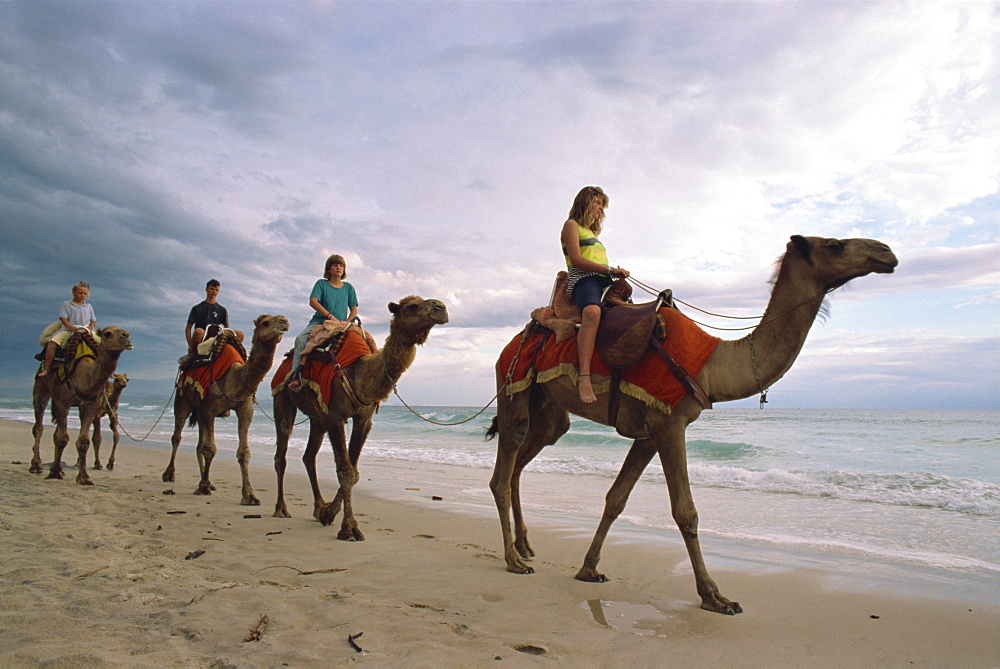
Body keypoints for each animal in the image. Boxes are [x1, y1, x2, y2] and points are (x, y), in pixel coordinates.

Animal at [30, 326, 135, 482]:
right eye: (107, 334)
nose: (126, 336)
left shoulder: (92, 405)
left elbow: (85, 440)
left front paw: (84, 477)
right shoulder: (63, 402)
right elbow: (63, 438)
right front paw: (55, 472)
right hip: (41, 385)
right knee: (39, 424)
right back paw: (36, 465)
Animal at [162, 316, 290, 504]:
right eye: (265, 322)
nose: (284, 321)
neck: (233, 379)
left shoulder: (244, 410)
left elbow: (243, 452)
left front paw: (249, 495)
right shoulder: (209, 410)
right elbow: (210, 449)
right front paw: (204, 487)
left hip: (199, 412)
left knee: (198, 445)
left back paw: (206, 480)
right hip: (183, 398)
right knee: (177, 435)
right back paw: (169, 474)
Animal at [272, 294, 448, 540]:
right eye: (412, 306)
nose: (441, 308)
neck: (359, 375)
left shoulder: (363, 419)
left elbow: (353, 471)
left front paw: (329, 514)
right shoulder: (335, 417)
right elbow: (345, 472)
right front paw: (349, 528)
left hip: (317, 418)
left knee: (309, 457)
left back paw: (318, 508)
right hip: (283, 398)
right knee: (282, 453)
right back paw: (281, 508)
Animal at [488, 236, 904, 616]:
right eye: (835, 245)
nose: (886, 252)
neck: (710, 363)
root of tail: (514, 341)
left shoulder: (650, 430)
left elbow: (616, 499)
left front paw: (589, 569)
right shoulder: (670, 423)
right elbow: (686, 512)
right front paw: (715, 596)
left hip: (548, 408)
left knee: (522, 461)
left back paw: (525, 546)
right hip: (512, 385)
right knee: (502, 473)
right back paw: (514, 560)